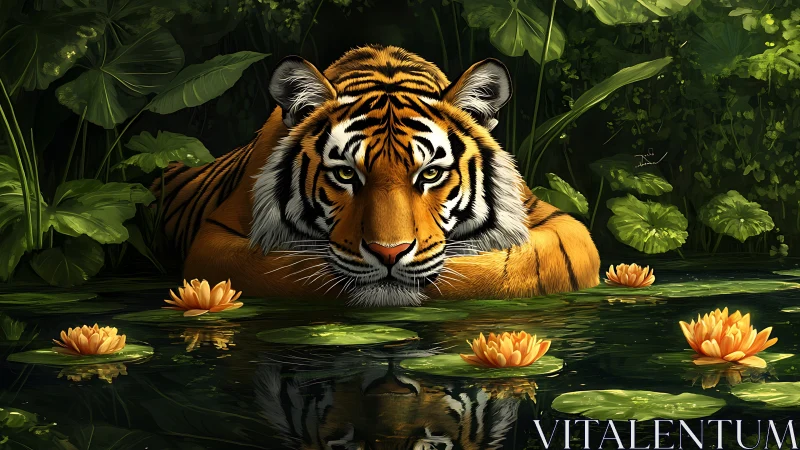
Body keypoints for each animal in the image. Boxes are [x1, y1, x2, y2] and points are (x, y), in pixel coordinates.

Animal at [154, 45, 601, 306]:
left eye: (431, 173)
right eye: (346, 174)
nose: (389, 253)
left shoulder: (561, 223)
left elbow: (521, 266)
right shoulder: (215, 242)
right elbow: (287, 273)